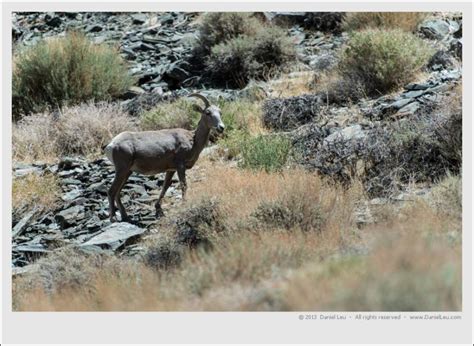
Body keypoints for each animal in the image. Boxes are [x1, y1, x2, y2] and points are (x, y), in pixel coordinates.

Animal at [104, 93, 223, 222]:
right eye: (207, 112)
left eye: (220, 112)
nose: (221, 127)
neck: (193, 140)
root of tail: (111, 145)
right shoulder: (180, 166)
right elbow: (184, 185)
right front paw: (184, 204)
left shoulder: (171, 170)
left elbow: (165, 187)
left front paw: (159, 210)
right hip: (122, 170)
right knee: (111, 191)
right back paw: (113, 218)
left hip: (127, 172)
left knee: (117, 192)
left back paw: (125, 217)